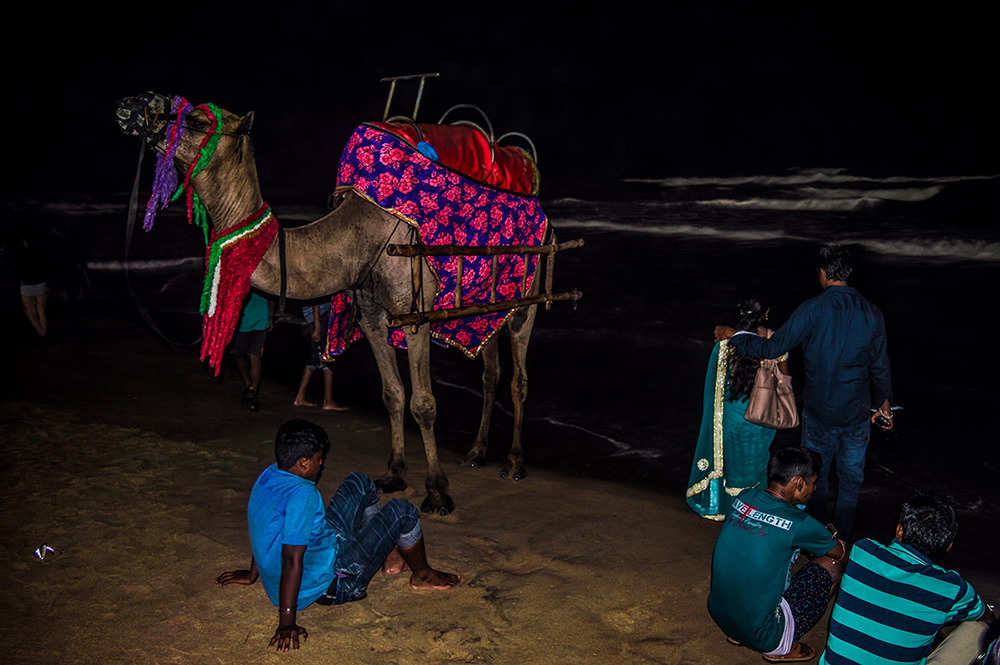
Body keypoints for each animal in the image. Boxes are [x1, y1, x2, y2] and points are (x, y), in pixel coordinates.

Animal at [120, 92, 552, 512]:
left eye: (195, 119)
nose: (132, 106)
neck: (358, 231)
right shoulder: (372, 315)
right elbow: (392, 395)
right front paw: (394, 474)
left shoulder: (414, 314)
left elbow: (424, 403)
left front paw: (437, 493)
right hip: (484, 310)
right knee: (490, 367)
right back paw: (476, 453)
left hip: (527, 296)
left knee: (519, 377)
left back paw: (514, 463)